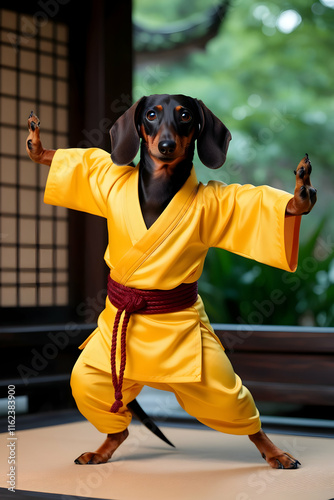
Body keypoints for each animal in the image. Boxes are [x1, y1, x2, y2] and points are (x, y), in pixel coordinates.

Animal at [26, 94, 316, 468]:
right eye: (151, 115)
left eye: (185, 116)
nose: (165, 145)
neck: (159, 186)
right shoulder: (106, 181)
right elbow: (87, 167)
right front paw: (38, 148)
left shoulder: (222, 205)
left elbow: (270, 208)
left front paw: (299, 197)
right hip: (102, 371)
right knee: (100, 398)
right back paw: (106, 446)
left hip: (213, 381)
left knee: (236, 406)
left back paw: (274, 452)